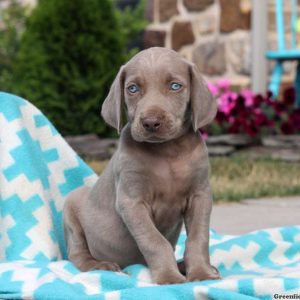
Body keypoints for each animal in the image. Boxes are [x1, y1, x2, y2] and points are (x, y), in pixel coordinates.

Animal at [63, 47, 221, 284]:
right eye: (133, 88)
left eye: (175, 86)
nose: (151, 122)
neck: (167, 152)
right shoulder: (132, 201)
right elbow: (155, 241)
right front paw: (169, 278)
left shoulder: (200, 195)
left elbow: (198, 238)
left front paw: (202, 273)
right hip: (71, 204)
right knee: (77, 254)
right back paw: (101, 266)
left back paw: (184, 265)